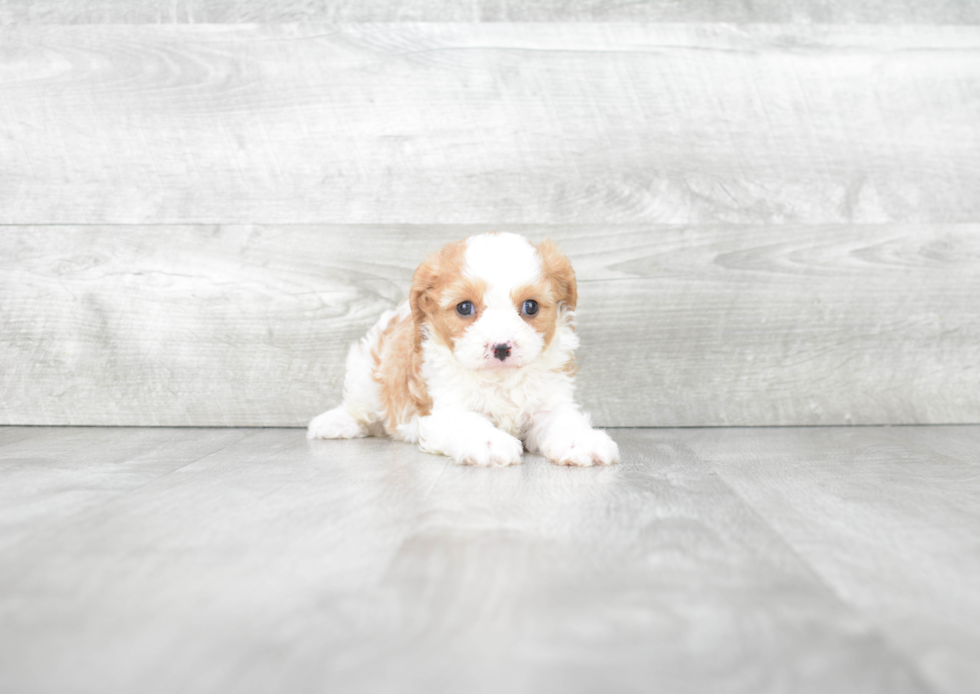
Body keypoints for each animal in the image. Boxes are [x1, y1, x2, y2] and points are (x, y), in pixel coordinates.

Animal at [306, 232, 620, 468]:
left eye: (530, 306)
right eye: (465, 307)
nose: (501, 347)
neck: (500, 380)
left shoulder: (548, 402)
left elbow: (562, 420)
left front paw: (581, 441)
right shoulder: (442, 409)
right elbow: (466, 421)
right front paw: (489, 442)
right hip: (366, 371)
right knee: (362, 408)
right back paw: (335, 423)